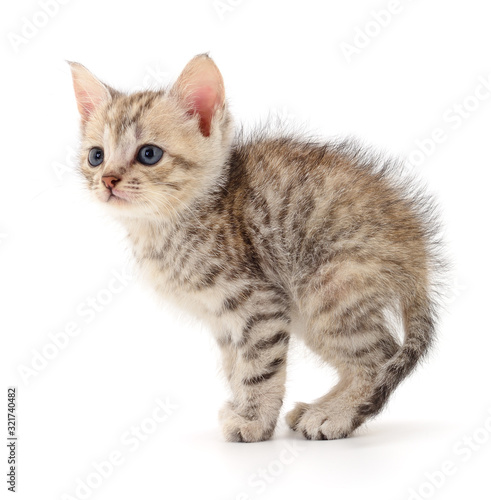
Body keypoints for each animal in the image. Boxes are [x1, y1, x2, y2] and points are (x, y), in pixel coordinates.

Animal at [70, 54, 446, 444]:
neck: (165, 226)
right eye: (96, 156)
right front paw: (244, 407)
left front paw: (253, 419)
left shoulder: (259, 302)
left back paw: (335, 415)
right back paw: (322, 407)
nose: (108, 180)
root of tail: (418, 256)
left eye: (148, 154)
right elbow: (235, 367)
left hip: (328, 287)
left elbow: (260, 365)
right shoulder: (223, 317)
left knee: (380, 356)